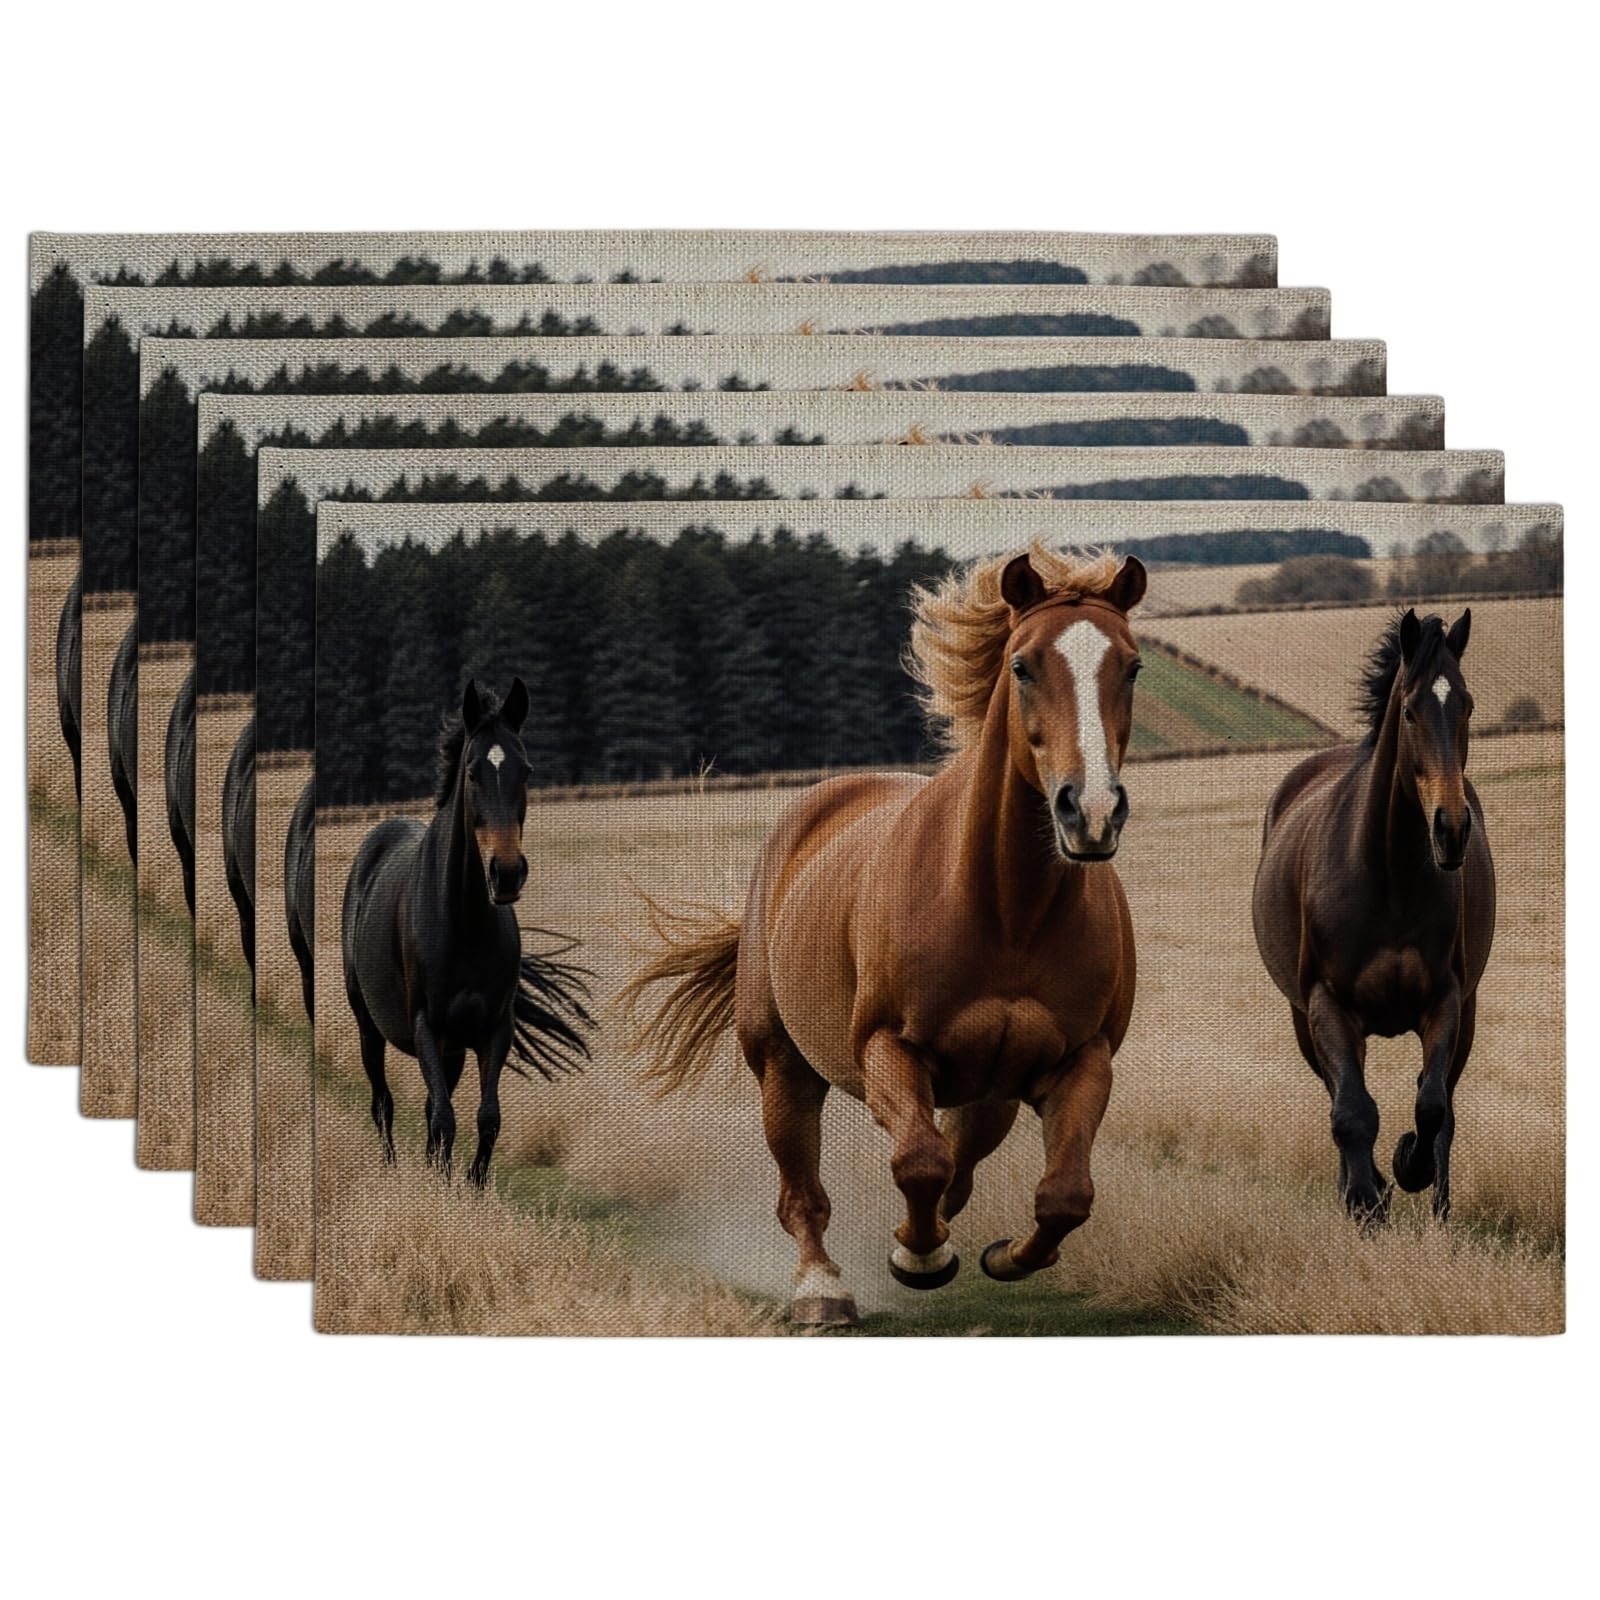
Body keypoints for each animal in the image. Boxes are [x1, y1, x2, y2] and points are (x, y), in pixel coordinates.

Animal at [340, 678, 593, 1185]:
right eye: (473, 773)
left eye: (526, 770)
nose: (507, 873)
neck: (464, 922)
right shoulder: (426, 1026)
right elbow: (443, 1119)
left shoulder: (493, 1029)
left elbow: (485, 1118)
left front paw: (470, 1186)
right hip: (369, 1025)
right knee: (384, 1103)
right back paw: (392, 1167)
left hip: (453, 1049)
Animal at [622, 544, 1146, 1326]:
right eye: (1023, 666)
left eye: (1133, 666)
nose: (1091, 813)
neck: (1006, 913)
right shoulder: (886, 1047)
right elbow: (918, 1160)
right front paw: (918, 1258)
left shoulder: (1083, 1059)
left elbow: (1063, 1195)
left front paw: (1006, 1256)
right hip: (783, 1064)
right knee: (803, 1190)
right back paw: (822, 1289)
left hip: (988, 1090)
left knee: (965, 1160)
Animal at [1251, 608, 1495, 1224]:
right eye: (1409, 710)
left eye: (1467, 704)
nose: (1451, 829)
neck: (1388, 872)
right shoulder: (1327, 1004)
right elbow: (1352, 1112)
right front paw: (1367, 1200)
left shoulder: (1447, 999)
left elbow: (1431, 1106)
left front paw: (1408, 1166)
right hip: (1306, 1020)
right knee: (1341, 1099)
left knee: (1443, 1105)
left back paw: (1437, 1209)